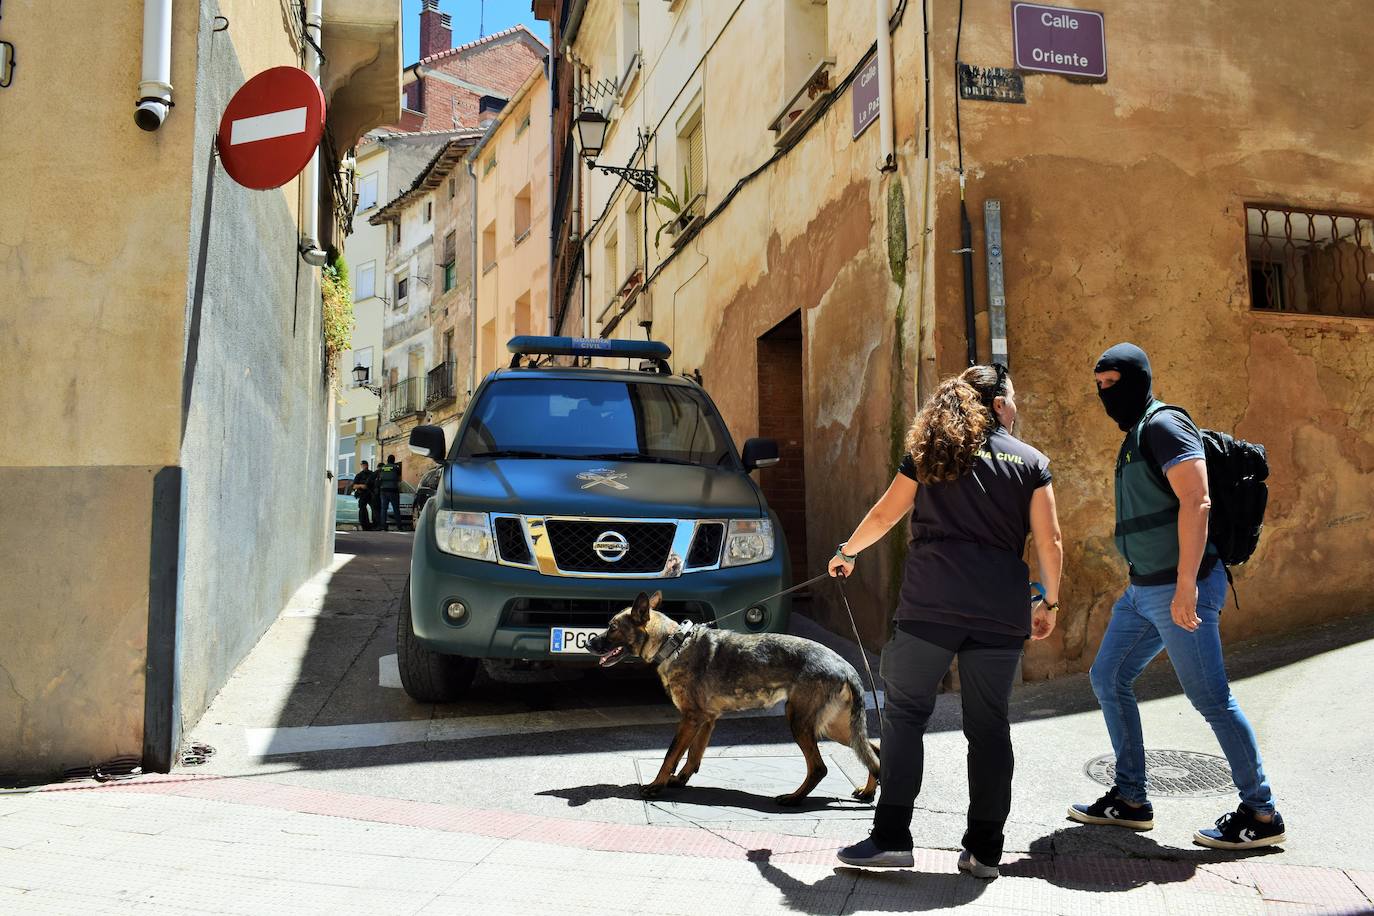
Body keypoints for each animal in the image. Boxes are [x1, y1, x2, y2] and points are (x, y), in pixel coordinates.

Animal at [588, 590, 879, 807]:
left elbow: (671, 755)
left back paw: (794, 798)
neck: (674, 643)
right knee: (873, 752)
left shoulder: (690, 719)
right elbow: (693, 755)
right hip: (835, 728)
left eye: (612, 627)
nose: (589, 642)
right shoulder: (706, 720)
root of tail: (846, 666)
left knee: (820, 767)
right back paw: (867, 791)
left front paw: (656, 785)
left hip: (801, 722)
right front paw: (680, 780)